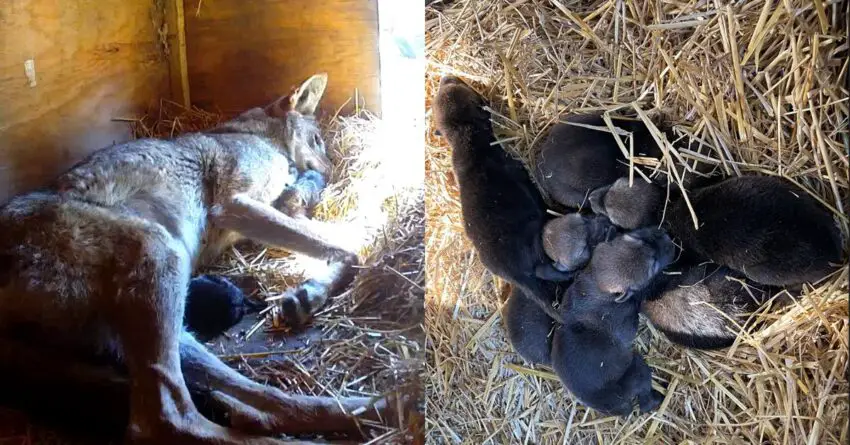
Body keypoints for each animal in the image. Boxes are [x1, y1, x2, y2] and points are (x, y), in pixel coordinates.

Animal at [0, 74, 398, 442]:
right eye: (317, 140)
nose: (331, 173)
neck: (258, 137)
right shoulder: (236, 206)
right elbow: (348, 249)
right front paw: (313, 290)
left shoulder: (273, 208)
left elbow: (345, 247)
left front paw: (309, 292)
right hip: (159, 256)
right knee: (166, 420)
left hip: (168, 329)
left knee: (263, 401)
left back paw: (374, 408)